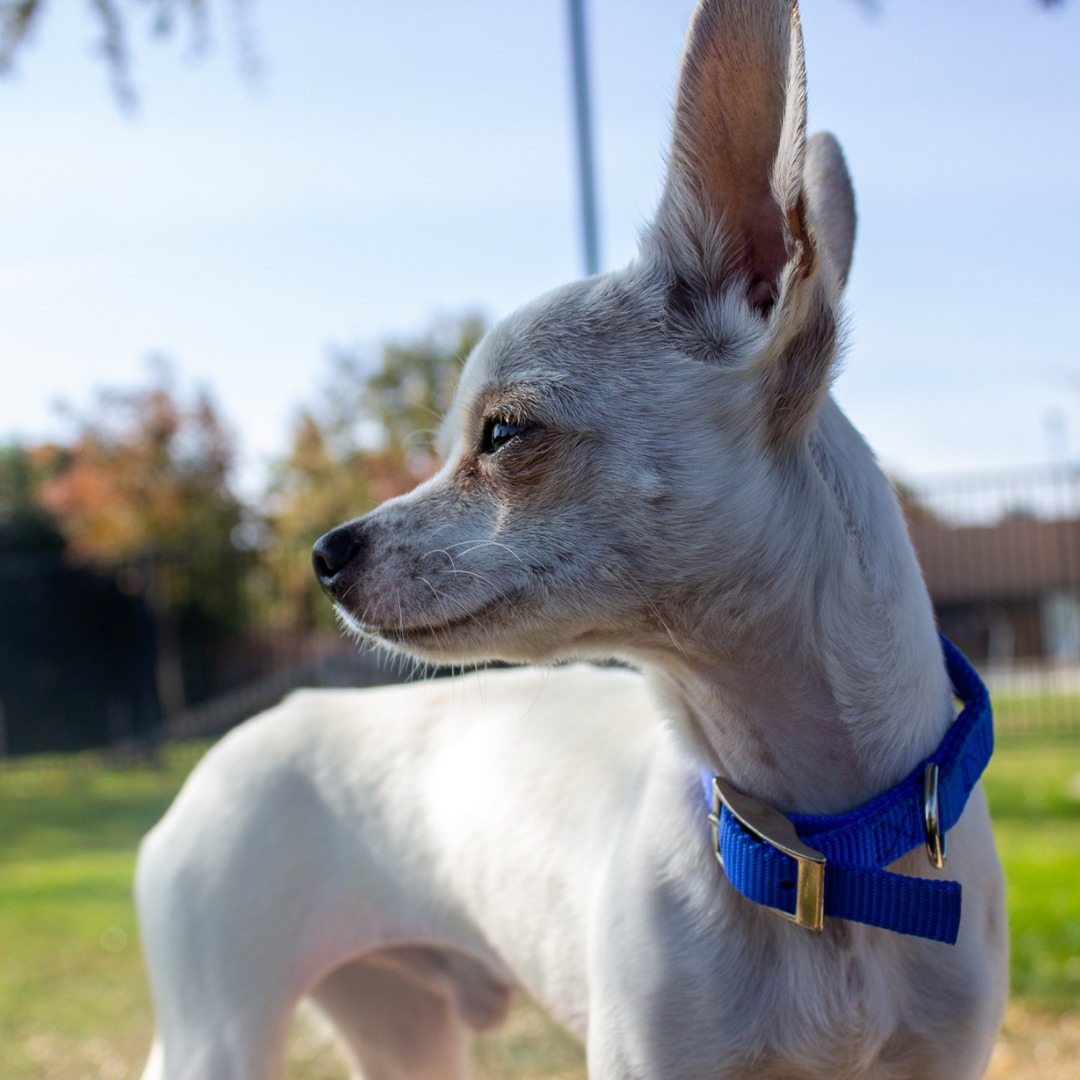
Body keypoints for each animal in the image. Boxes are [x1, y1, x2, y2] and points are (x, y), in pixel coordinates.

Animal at [132, 4, 1002, 1075]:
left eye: (503, 434)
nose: (326, 555)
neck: (818, 855)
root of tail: (247, 736)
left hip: (403, 1030)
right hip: (219, 1034)